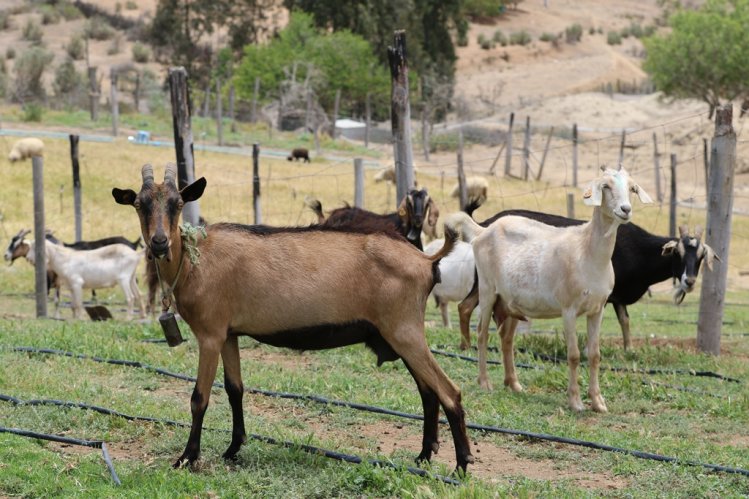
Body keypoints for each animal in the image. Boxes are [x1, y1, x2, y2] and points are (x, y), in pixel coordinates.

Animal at [111, 163, 474, 472]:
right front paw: (233, 449)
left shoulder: (210, 334)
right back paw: (425, 455)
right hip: (399, 333)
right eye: (139, 204)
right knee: (428, 392)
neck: (194, 260)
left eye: (177, 203)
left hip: (404, 329)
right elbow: (235, 389)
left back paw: (461, 465)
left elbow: (199, 398)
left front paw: (187, 458)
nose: (159, 242)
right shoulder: (228, 333)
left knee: (449, 391)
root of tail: (427, 261)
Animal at [448, 166, 652, 412]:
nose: (625, 209)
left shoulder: (597, 309)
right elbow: (574, 355)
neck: (587, 249)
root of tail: (482, 231)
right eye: (606, 186)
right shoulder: (569, 309)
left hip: (511, 300)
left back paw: (514, 384)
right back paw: (485, 382)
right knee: (482, 333)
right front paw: (575, 402)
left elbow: (594, 355)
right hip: (487, 288)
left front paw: (598, 402)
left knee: (506, 339)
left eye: (632, 188)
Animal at [452, 211, 716, 352]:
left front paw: (629, 350)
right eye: (677, 253)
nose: (690, 281)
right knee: (465, 307)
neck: (640, 251)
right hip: (485, 281)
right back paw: (467, 345)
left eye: (701, 256)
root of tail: (482, 226)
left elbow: (625, 321)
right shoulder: (604, 294)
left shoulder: (617, 296)